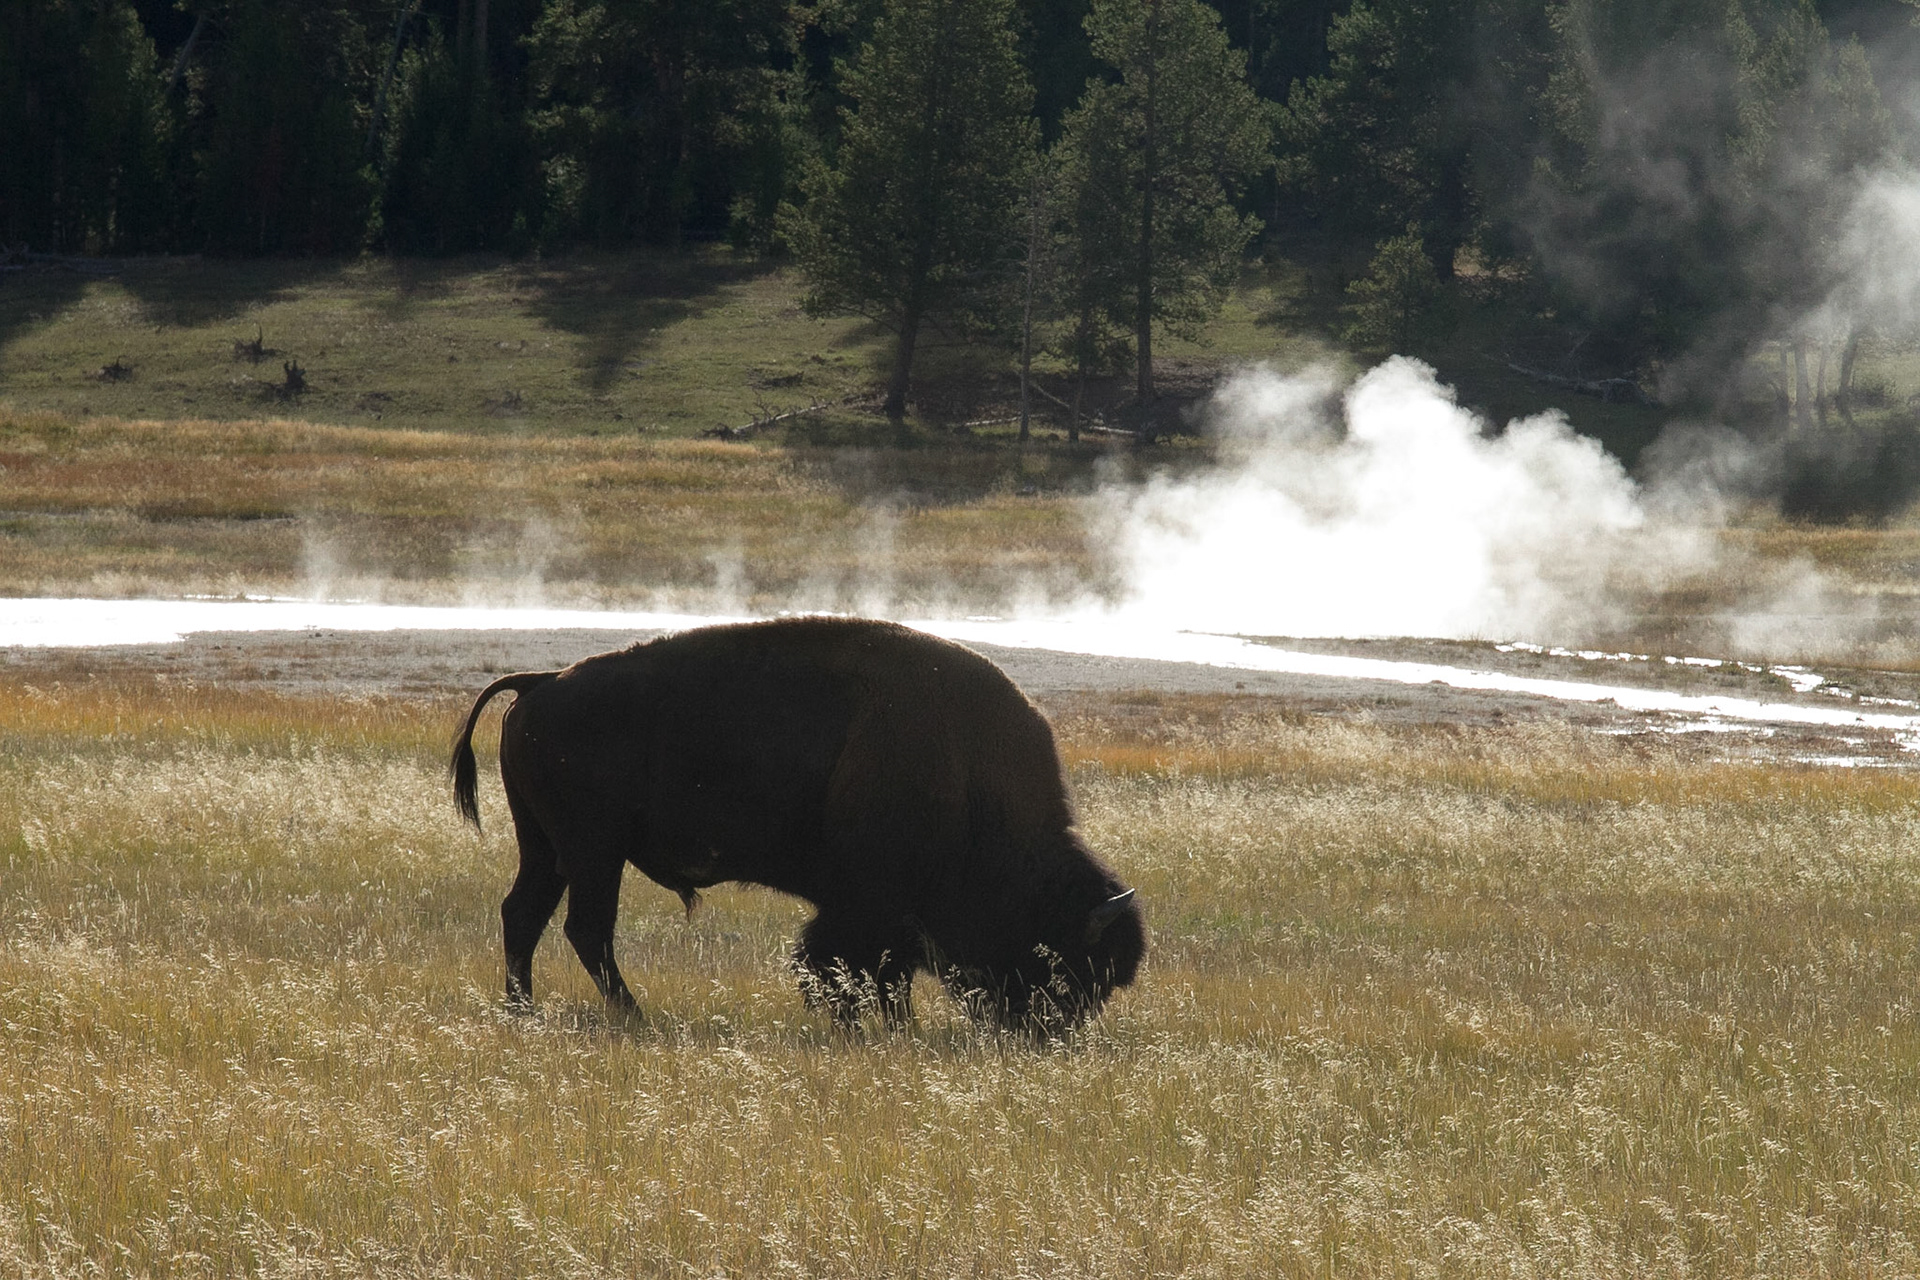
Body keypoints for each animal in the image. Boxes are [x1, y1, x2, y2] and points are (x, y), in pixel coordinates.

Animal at [450, 616, 1144, 1031]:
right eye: (1068, 966)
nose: (1045, 1035)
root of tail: (544, 681)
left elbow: (872, 971)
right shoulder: (869, 907)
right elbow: (853, 966)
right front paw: (878, 1027)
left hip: (547, 847)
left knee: (525, 914)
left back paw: (524, 1013)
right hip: (594, 850)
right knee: (586, 928)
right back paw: (635, 1017)